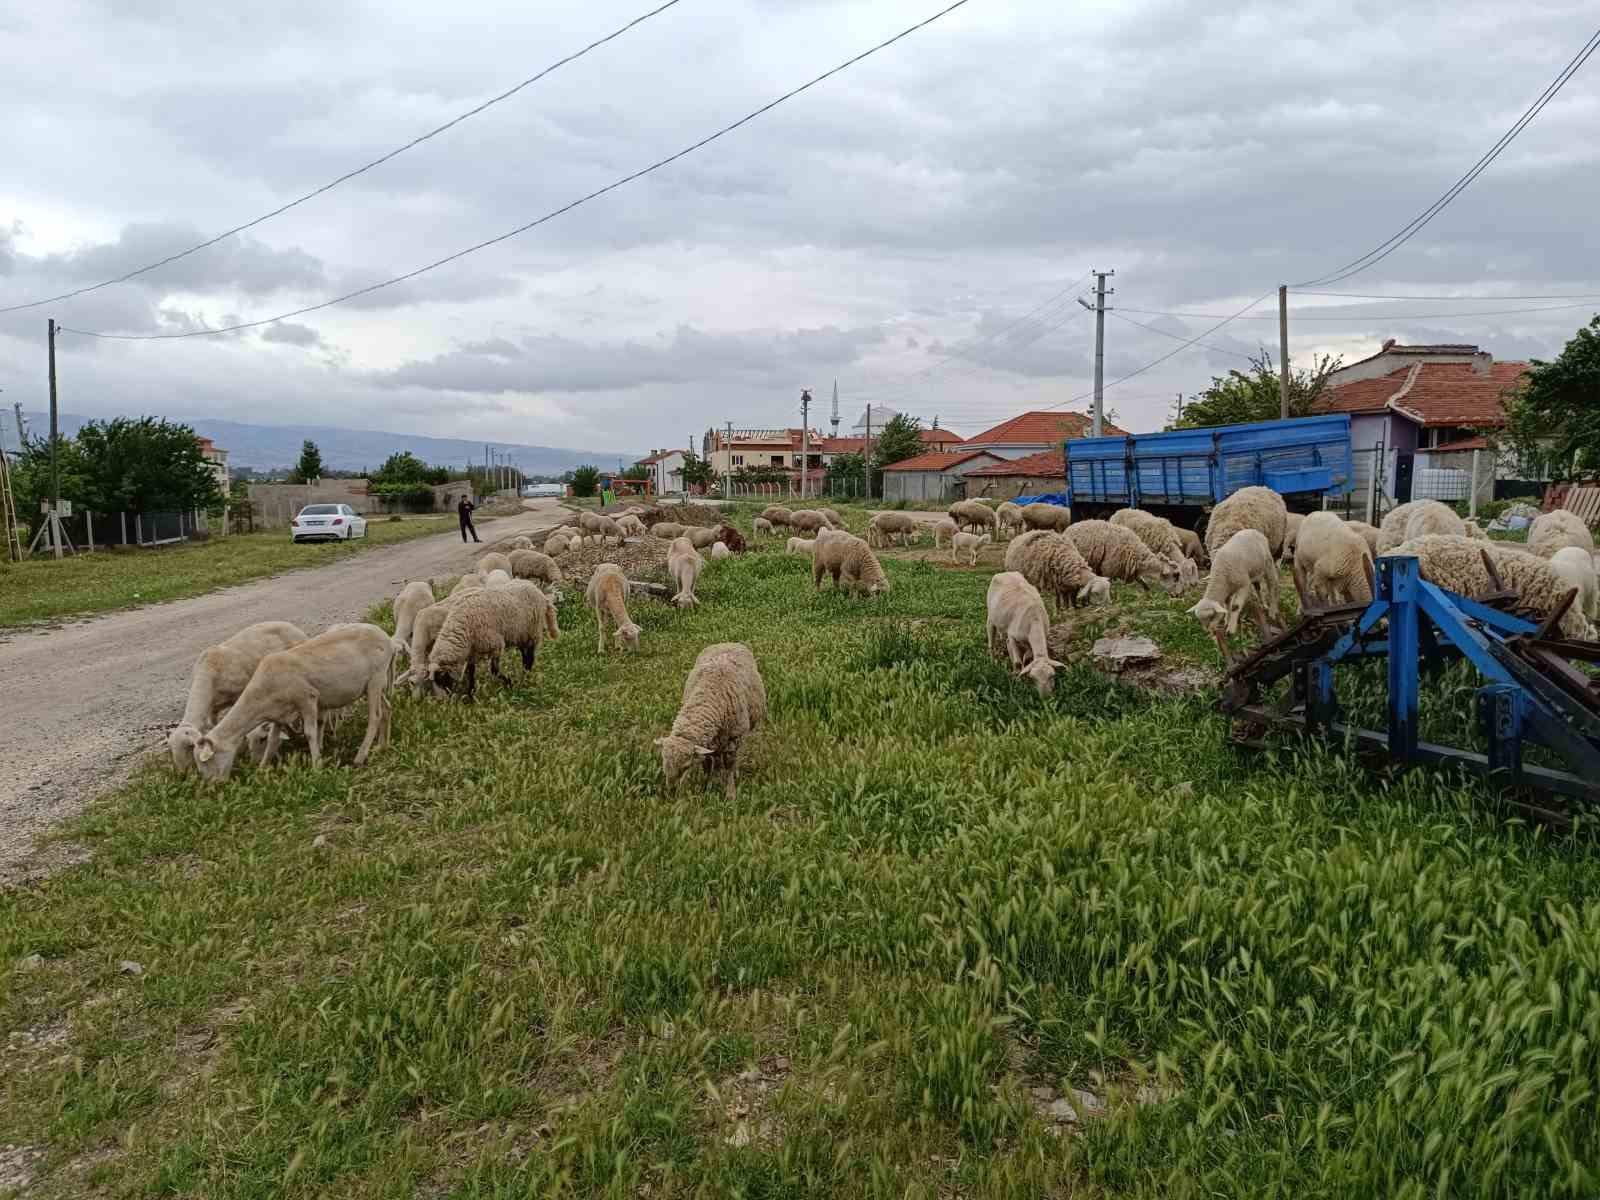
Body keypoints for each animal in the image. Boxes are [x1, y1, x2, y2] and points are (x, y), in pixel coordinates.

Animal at [168, 620, 308, 771]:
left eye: (189, 747)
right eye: (172, 749)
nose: (183, 772)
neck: (209, 671)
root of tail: (287, 624)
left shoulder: (239, 694)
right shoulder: (212, 709)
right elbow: (215, 725)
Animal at [194, 624, 396, 784]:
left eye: (208, 761)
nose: (214, 786)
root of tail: (386, 638)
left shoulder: (307, 698)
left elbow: (310, 733)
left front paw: (316, 767)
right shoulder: (279, 714)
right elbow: (272, 741)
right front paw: (261, 770)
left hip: (375, 679)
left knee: (375, 716)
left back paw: (360, 756)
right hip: (376, 685)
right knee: (387, 709)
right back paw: (382, 746)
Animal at [428, 579, 560, 700]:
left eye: (443, 679)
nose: (446, 699)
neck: (463, 627)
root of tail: (539, 592)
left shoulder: (496, 644)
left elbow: (494, 670)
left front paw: (509, 683)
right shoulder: (473, 651)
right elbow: (471, 672)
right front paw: (471, 694)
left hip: (533, 632)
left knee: (530, 657)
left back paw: (525, 677)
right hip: (520, 635)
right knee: (525, 655)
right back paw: (524, 674)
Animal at [656, 643, 768, 803]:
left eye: (687, 766)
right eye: (663, 761)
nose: (671, 793)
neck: (710, 692)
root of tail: (729, 642)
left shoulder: (733, 737)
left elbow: (729, 765)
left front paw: (730, 793)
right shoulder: (708, 744)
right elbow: (707, 764)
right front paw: (707, 787)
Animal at [1190, 528, 1286, 662]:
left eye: (1212, 616)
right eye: (1199, 619)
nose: (1208, 631)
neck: (1222, 575)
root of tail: (1253, 530)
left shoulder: (1243, 585)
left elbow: (1235, 606)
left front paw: (1231, 629)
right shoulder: (1228, 590)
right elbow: (1226, 606)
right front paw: (1227, 619)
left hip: (1268, 563)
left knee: (1272, 584)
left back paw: (1272, 610)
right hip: (1254, 570)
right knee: (1258, 587)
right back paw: (1262, 604)